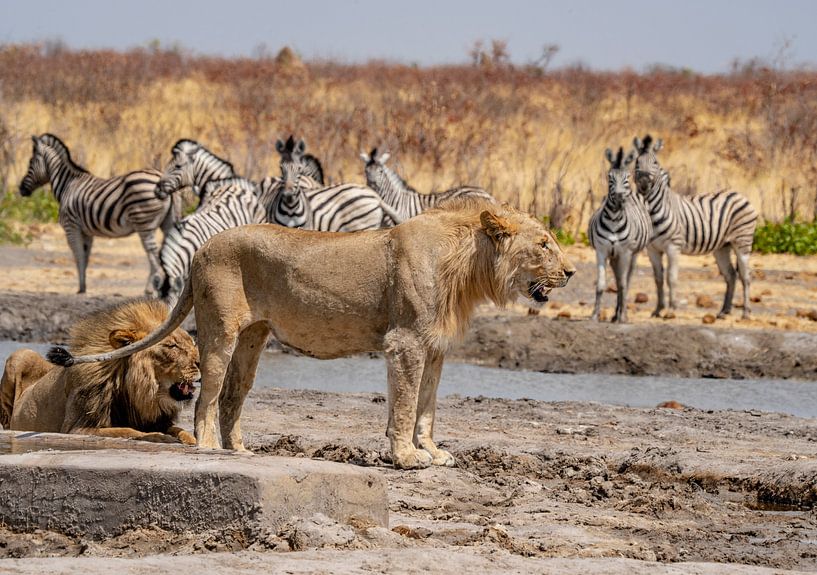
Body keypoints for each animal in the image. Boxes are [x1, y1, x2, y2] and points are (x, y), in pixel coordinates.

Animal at [3, 299, 200, 444]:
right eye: (172, 346)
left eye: (192, 342)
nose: (200, 362)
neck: (139, 394)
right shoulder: (76, 428)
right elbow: (126, 430)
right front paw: (159, 437)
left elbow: (180, 430)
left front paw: (189, 439)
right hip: (20, 355)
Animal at [49, 200, 575, 468]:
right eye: (543, 244)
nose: (570, 272)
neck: (469, 266)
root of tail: (201, 249)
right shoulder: (405, 341)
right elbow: (406, 405)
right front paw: (407, 457)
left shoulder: (434, 346)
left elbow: (426, 406)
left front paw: (430, 451)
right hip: (219, 331)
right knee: (206, 397)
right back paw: (209, 449)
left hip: (254, 336)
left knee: (233, 395)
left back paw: (240, 449)